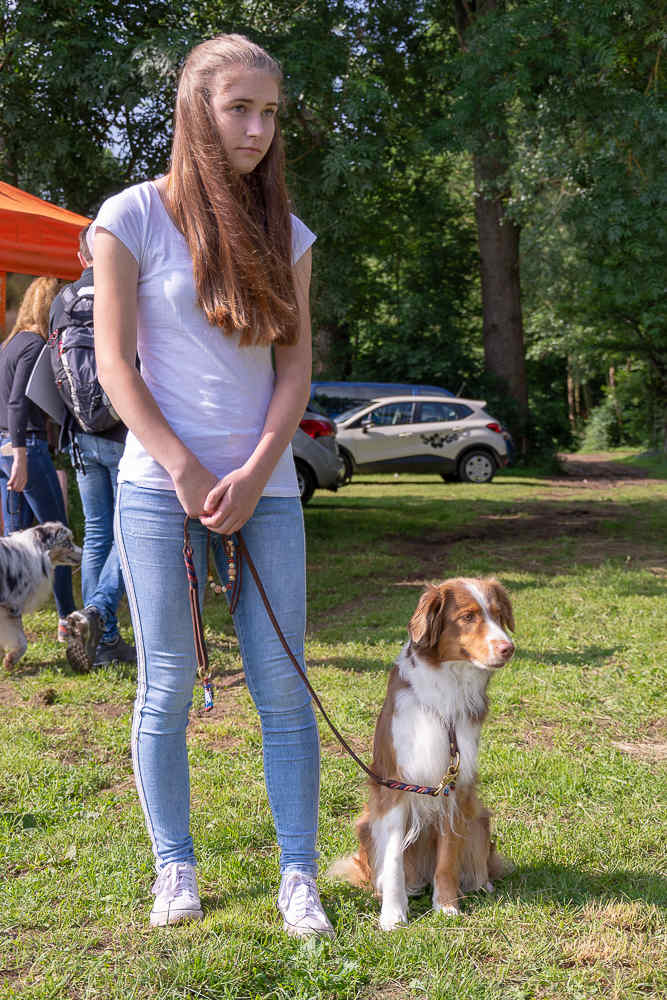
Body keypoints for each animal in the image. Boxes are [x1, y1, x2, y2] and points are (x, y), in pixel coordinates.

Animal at [332, 580, 516, 928]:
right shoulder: (395, 785)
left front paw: (446, 906)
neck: (448, 686)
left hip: (479, 818)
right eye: (468, 617)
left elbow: (447, 858)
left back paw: (480, 884)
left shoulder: (454, 784)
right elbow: (393, 860)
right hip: (367, 825)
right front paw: (392, 916)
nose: (508, 648)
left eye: (498, 614)